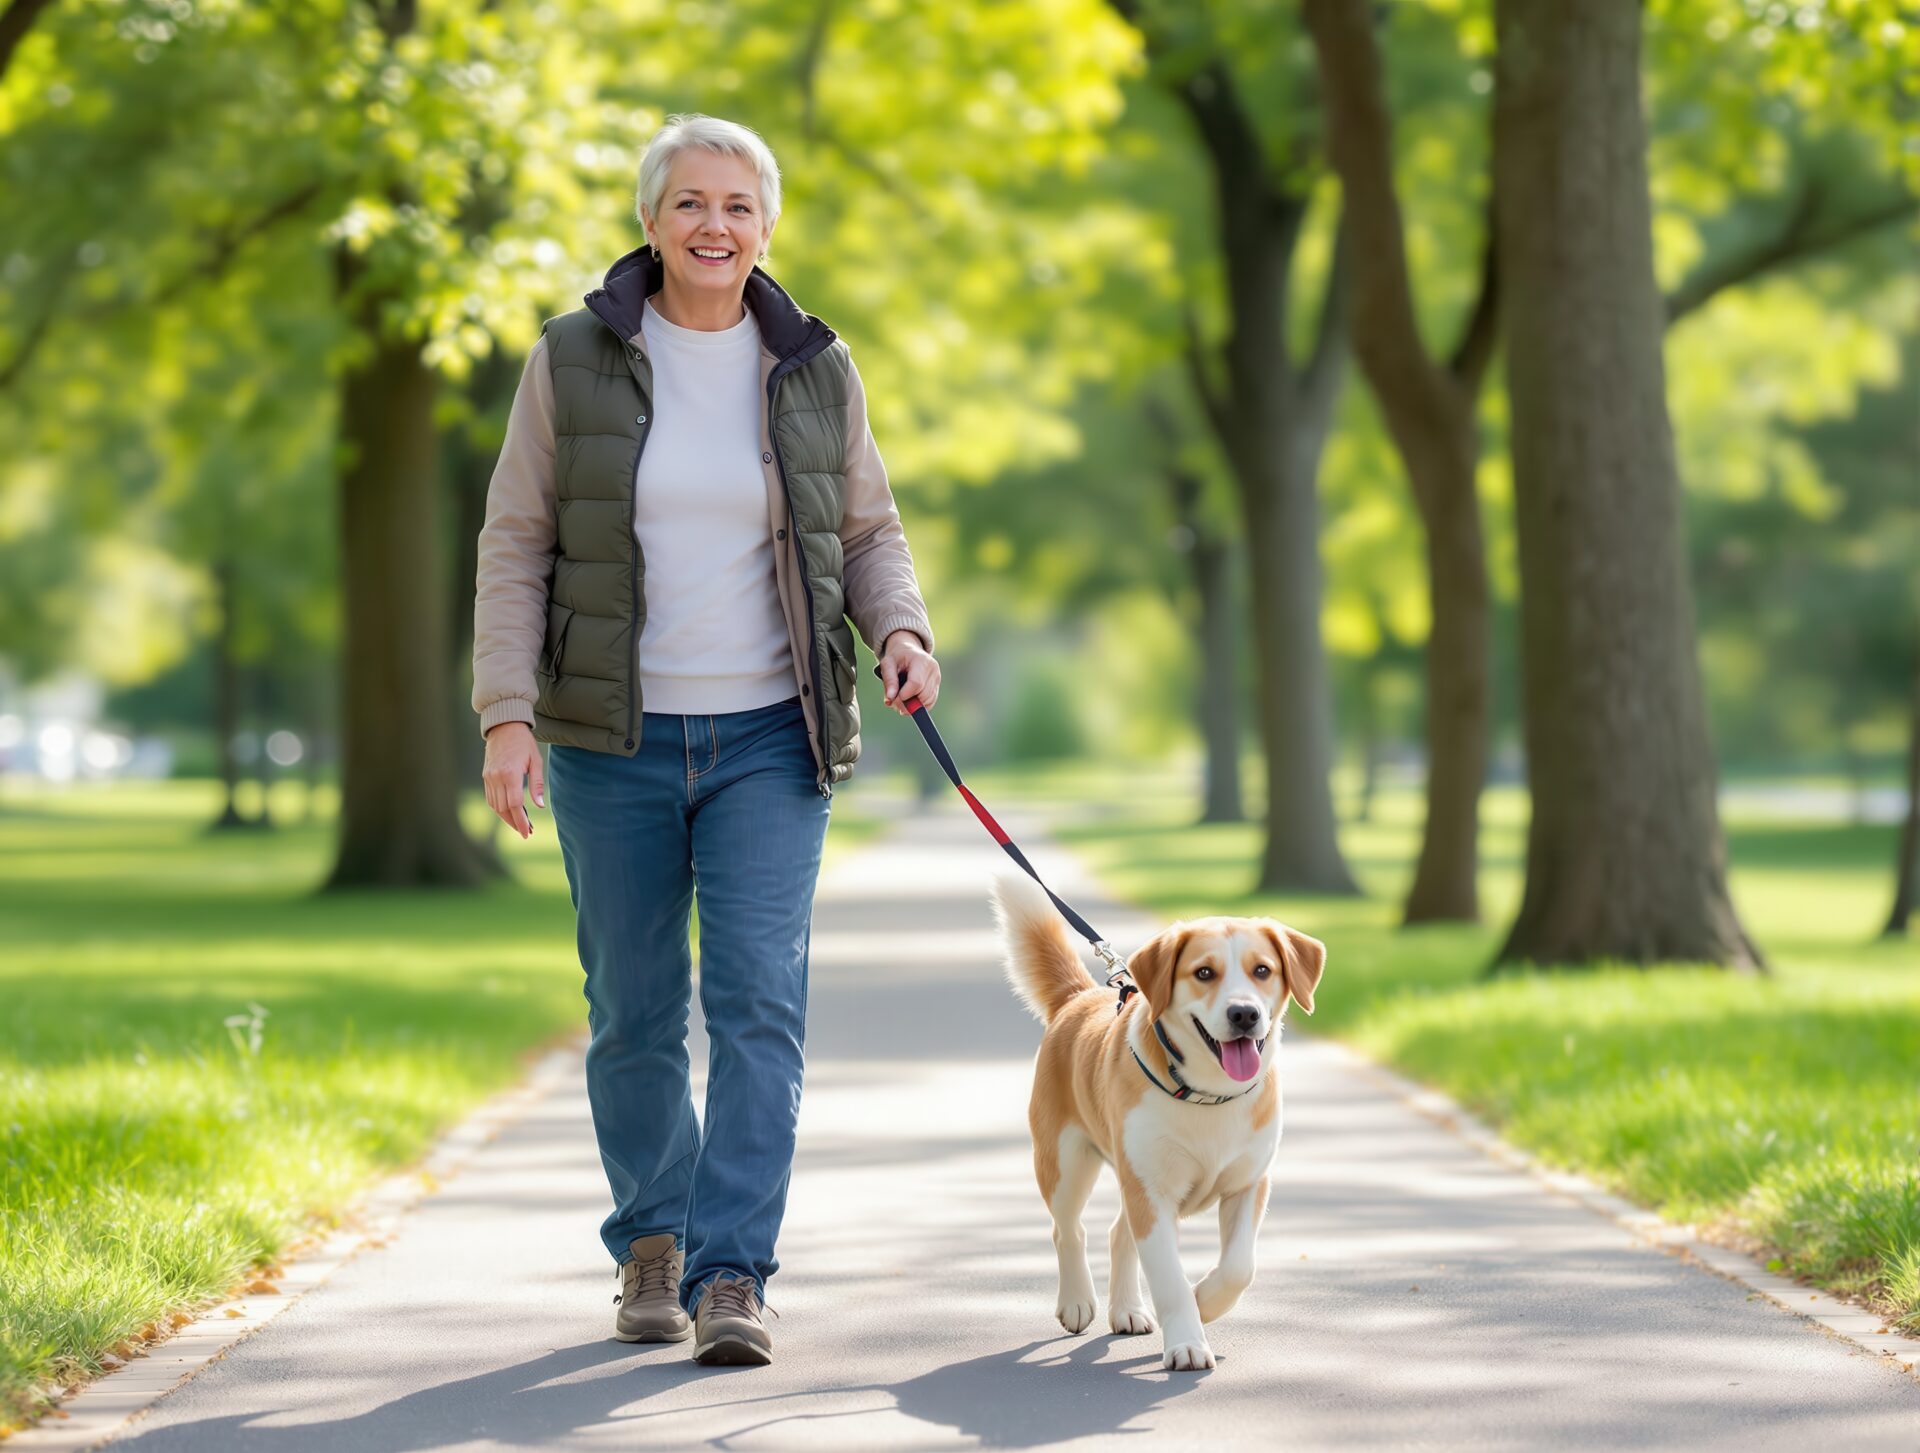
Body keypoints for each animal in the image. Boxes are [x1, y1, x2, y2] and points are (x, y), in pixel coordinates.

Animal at [990, 871, 1320, 1374]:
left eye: (1262, 970)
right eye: (1203, 973)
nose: (1244, 1013)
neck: (1207, 1094)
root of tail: (1079, 996)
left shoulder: (1248, 1184)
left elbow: (1239, 1268)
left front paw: (1205, 1301)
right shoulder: (1152, 1193)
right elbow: (1168, 1276)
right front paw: (1187, 1340)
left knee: (1116, 1234)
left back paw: (1126, 1308)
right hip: (1065, 1163)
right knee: (1069, 1229)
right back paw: (1077, 1301)